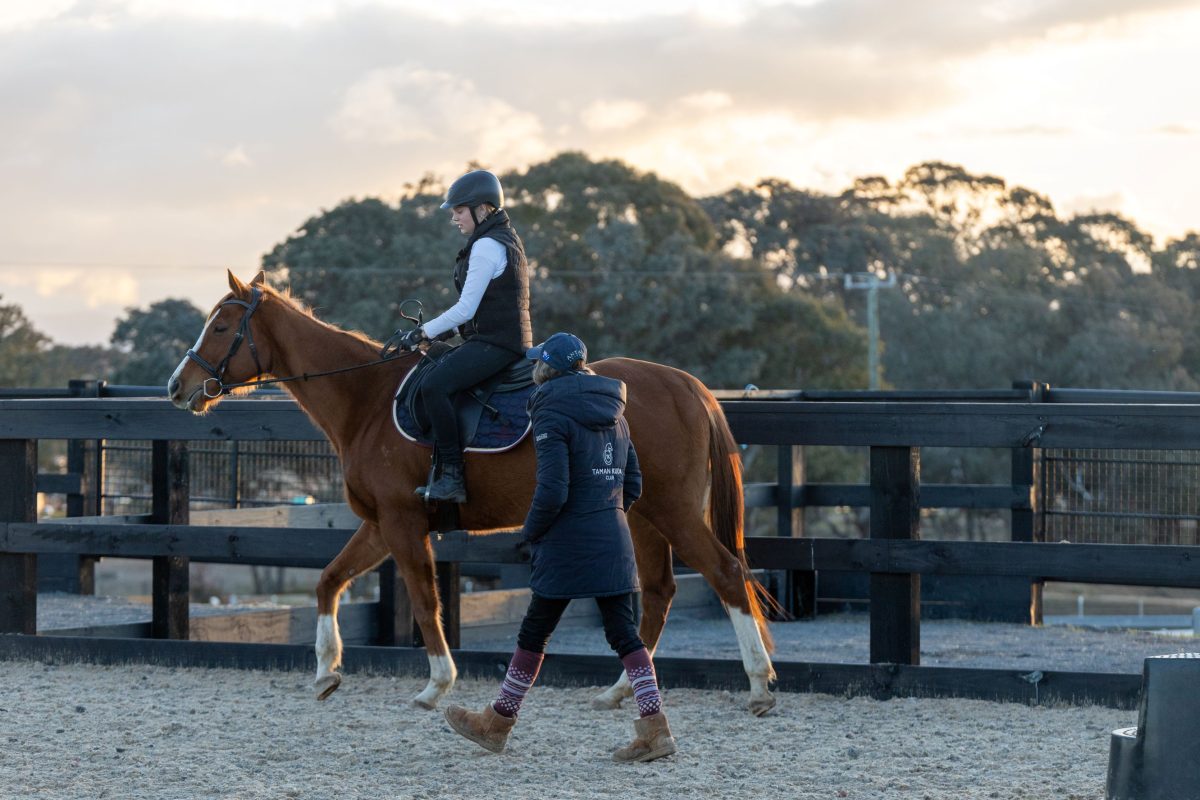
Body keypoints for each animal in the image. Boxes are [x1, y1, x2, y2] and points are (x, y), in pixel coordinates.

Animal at [168, 270, 777, 716]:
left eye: (220, 328)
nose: (178, 387)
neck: (367, 399)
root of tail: (686, 384)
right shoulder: (380, 525)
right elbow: (328, 581)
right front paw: (326, 672)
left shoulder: (403, 524)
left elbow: (423, 599)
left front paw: (437, 684)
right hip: (643, 515)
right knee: (659, 592)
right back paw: (621, 691)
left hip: (672, 511)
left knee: (726, 575)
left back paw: (759, 684)